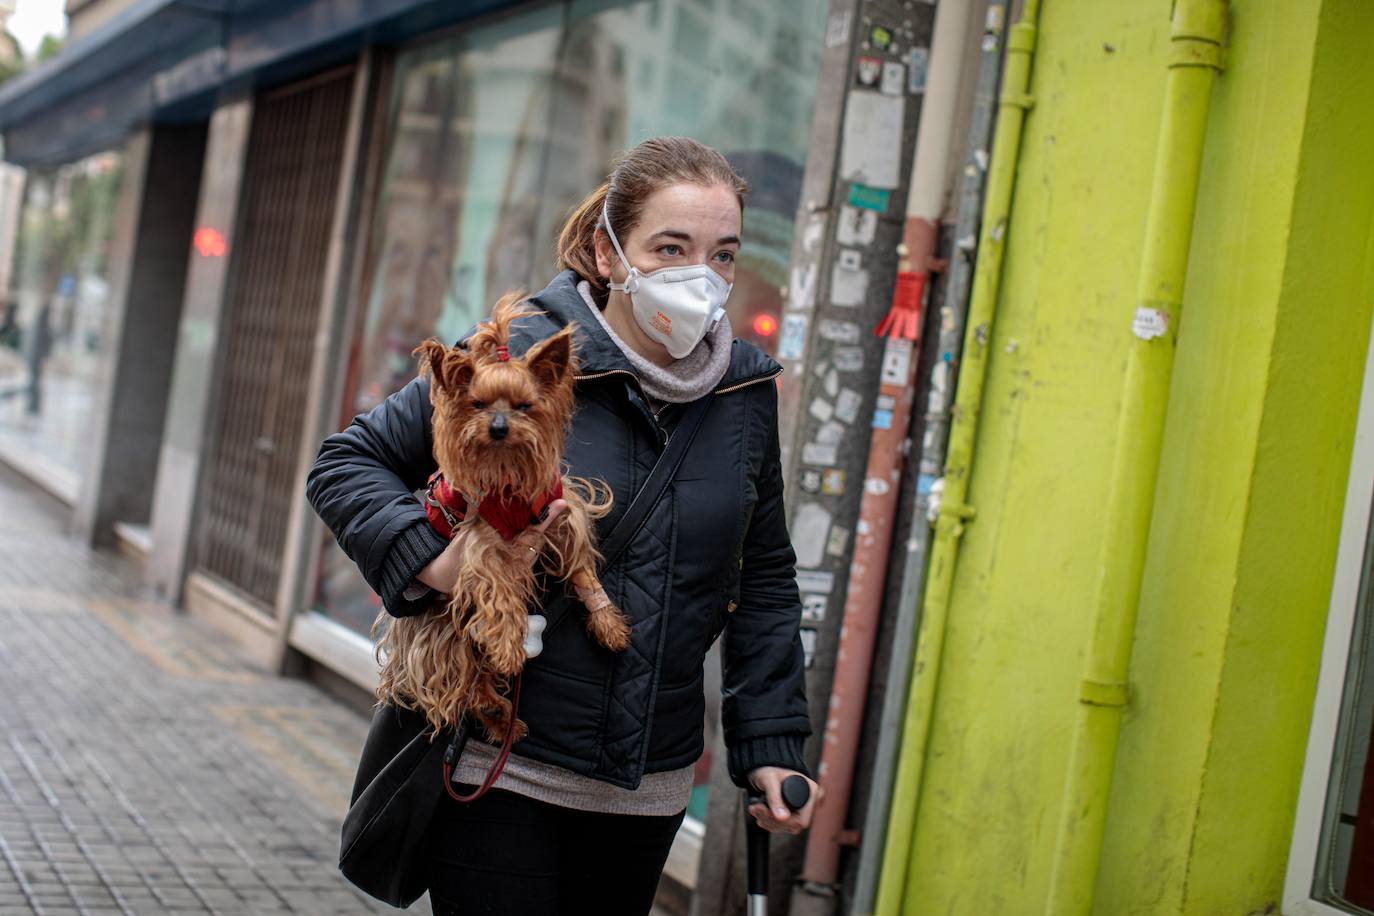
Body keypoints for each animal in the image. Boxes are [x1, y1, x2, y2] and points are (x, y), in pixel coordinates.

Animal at [376, 293, 632, 747]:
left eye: (523, 406)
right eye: (477, 405)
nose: (497, 426)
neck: (505, 468)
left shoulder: (562, 516)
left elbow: (583, 572)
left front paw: (608, 624)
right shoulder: (486, 546)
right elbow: (503, 596)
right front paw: (511, 645)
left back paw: (500, 718)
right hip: (447, 631)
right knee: (466, 674)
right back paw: (496, 708)